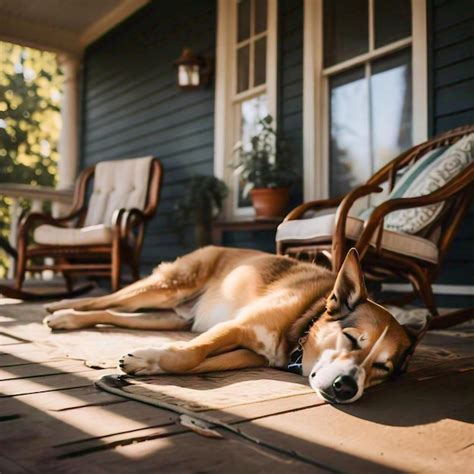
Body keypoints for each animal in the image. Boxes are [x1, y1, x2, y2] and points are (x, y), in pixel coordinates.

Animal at [45, 246, 422, 406]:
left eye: (384, 368)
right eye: (350, 338)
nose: (347, 387)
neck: (305, 321)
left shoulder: (247, 354)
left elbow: (192, 363)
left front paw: (149, 362)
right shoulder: (236, 327)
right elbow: (190, 355)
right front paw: (142, 360)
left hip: (170, 316)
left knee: (112, 314)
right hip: (167, 287)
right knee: (102, 301)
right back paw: (60, 310)